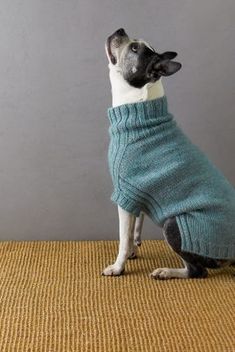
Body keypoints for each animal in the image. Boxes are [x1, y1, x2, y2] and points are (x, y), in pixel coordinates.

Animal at [103, 28, 235, 280]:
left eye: (134, 48)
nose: (120, 30)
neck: (139, 109)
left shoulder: (125, 195)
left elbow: (123, 237)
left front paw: (117, 266)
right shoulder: (136, 195)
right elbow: (135, 229)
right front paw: (133, 251)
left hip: (175, 224)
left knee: (198, 270)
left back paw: (166, 272)